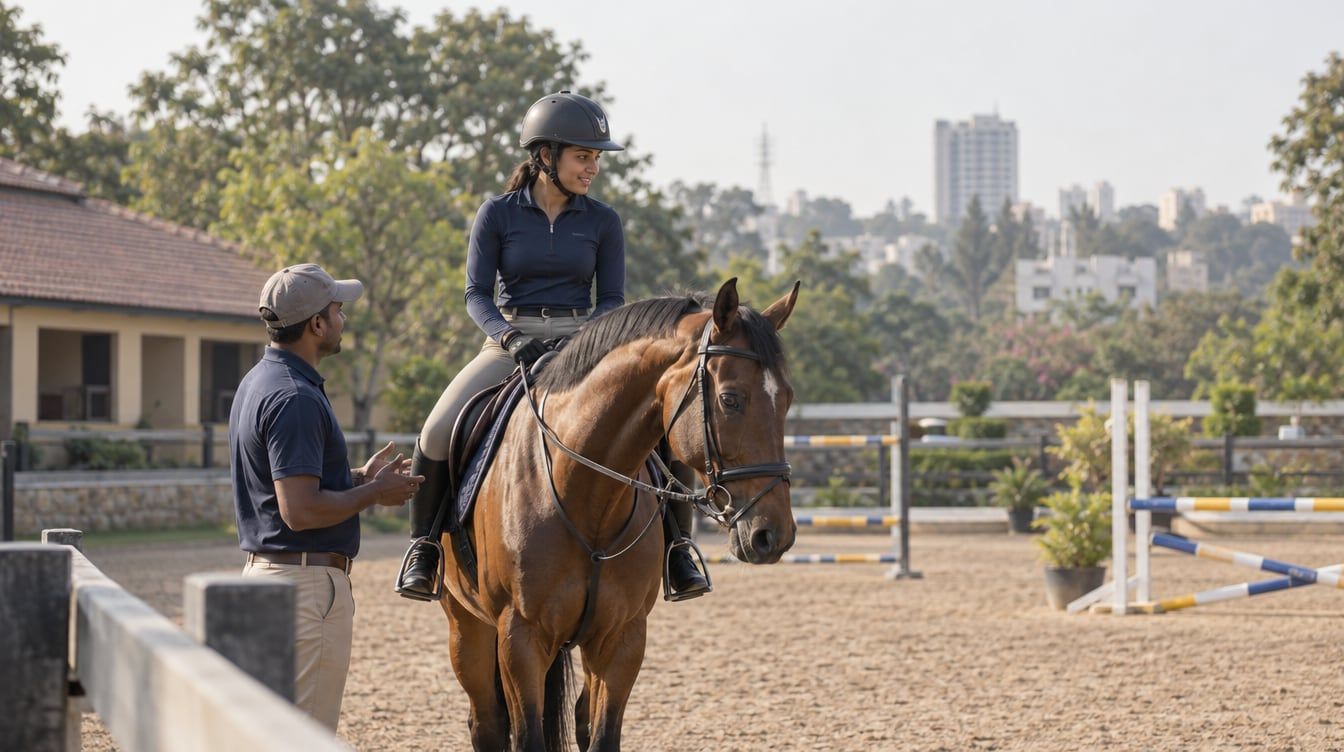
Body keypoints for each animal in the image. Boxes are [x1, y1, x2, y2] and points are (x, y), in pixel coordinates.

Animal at [437, 278, 800, 751]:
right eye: (730, 399)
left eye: (787, 400)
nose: (773, 535)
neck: (585, 496)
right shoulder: (521, 636)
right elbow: (528, 735)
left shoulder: (622, 637)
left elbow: (602, 734)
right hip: (467, 626)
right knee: (487, 723)